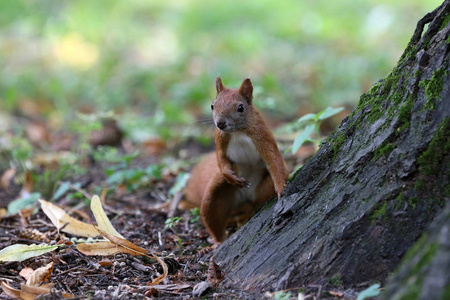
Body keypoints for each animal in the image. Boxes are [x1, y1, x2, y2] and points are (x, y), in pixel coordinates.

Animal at [180, 77, 288, 244]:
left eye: (240, 108)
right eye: (212, 105)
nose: (220, 123)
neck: (238, 131)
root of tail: (245, 196)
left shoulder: (263, 136)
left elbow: (274, 158)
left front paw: (281, 188)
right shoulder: (220, 139)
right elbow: (221, 159)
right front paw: (230, 176)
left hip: (263, 188)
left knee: (255, 202)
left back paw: (247, 212)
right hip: (216, 196)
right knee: (213, 216)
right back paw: (218, 242)